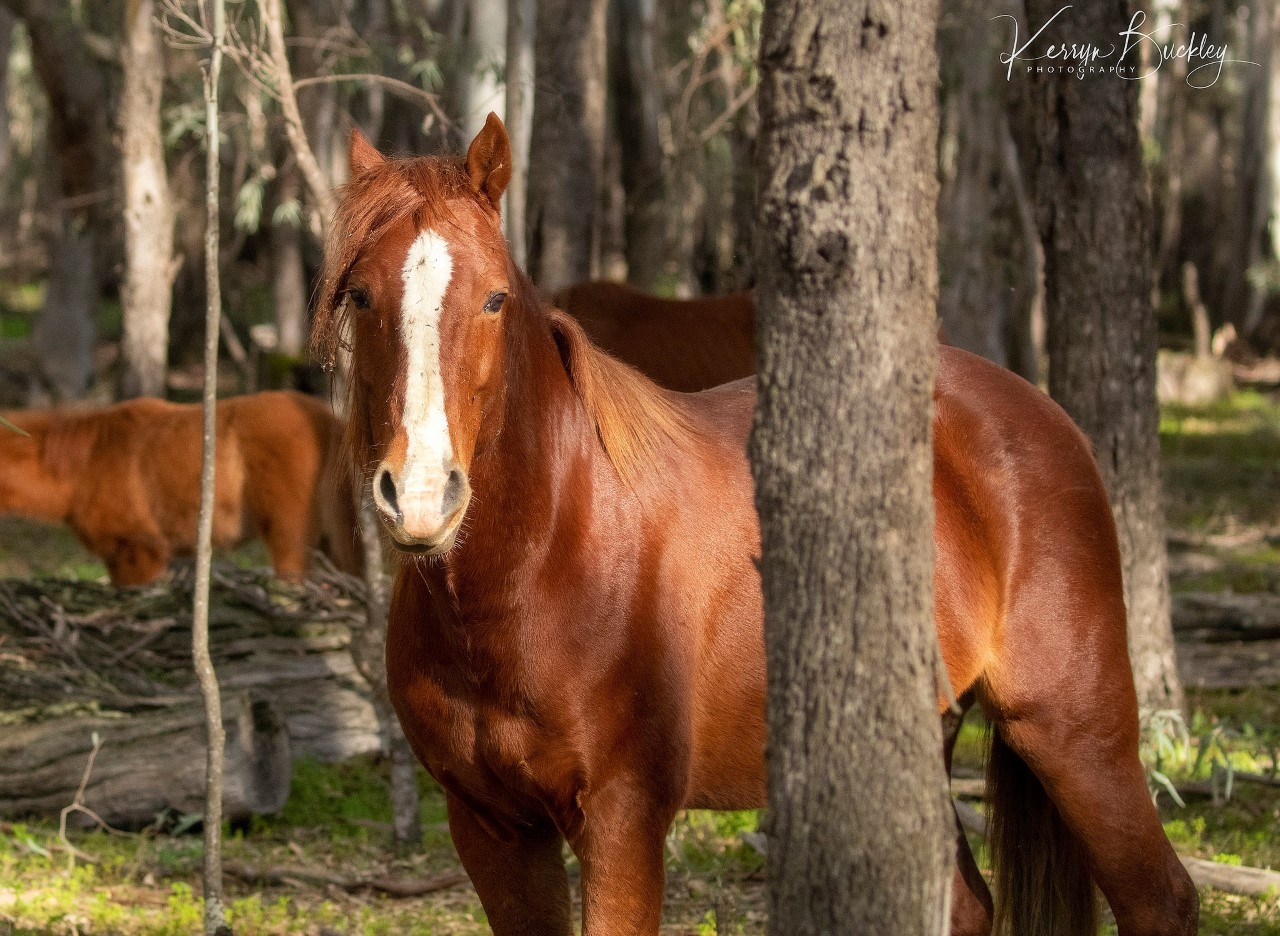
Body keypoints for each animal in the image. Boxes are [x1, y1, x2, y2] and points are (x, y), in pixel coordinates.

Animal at [0, 389, 360, 586]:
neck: (85, 465)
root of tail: (329, 421)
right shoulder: (117, 557)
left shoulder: (139, 550)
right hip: (331, 542)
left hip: (290, 538)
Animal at [314, 115, 1192, 936]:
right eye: (361, 295)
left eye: (494, 297)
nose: (420, 495)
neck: (544, 568)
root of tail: (1044, 416)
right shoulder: (492, 828)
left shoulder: (624, 821)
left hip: (1075, 735)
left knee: (1160, 898)